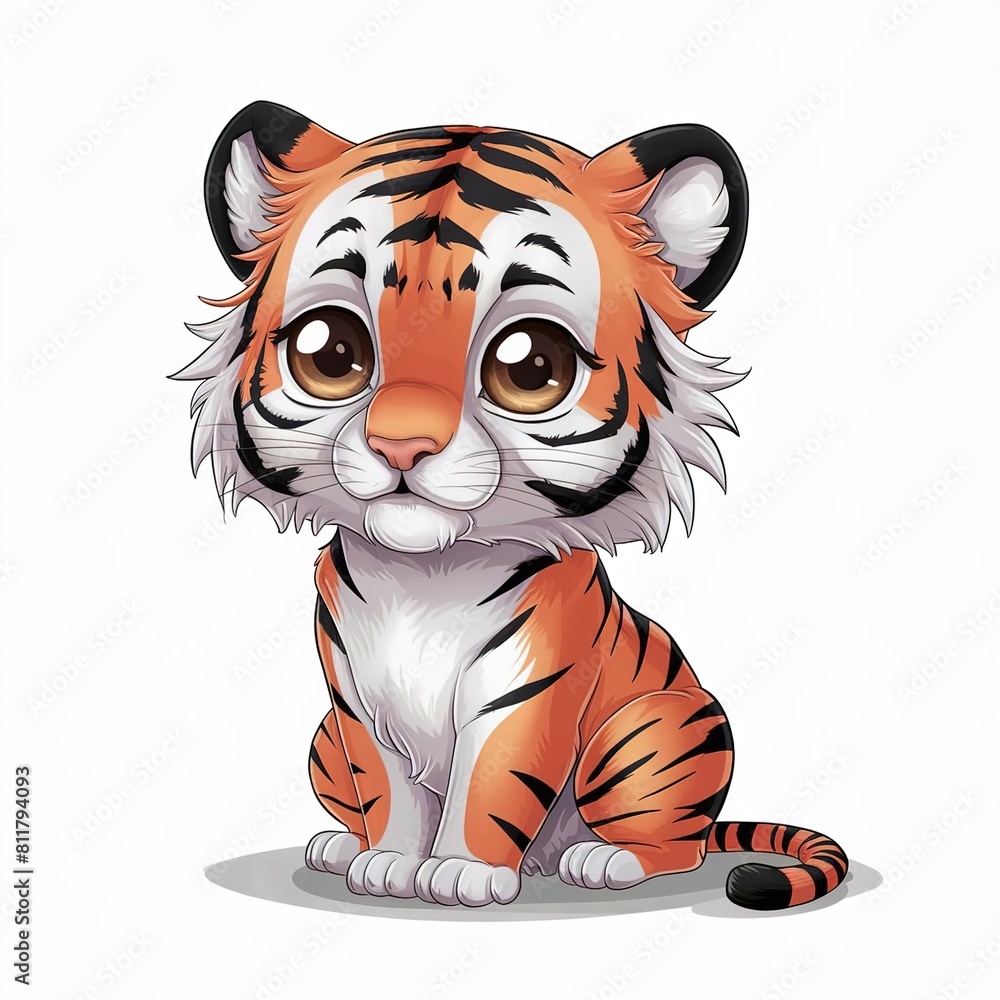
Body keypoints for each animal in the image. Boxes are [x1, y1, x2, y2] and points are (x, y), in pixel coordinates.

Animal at [176, 101, 848, 910]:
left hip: (655, 729)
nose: (402, 445)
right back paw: (341, 846)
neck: (422, 577)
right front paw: (388, 862)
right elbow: (389, 789)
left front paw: (459, 873)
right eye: (330, 351)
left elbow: (492, 784)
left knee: (678, 847)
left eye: (532, 365)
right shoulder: (355, 707)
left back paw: (604, 860)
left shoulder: (527, 695)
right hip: (322, 744)